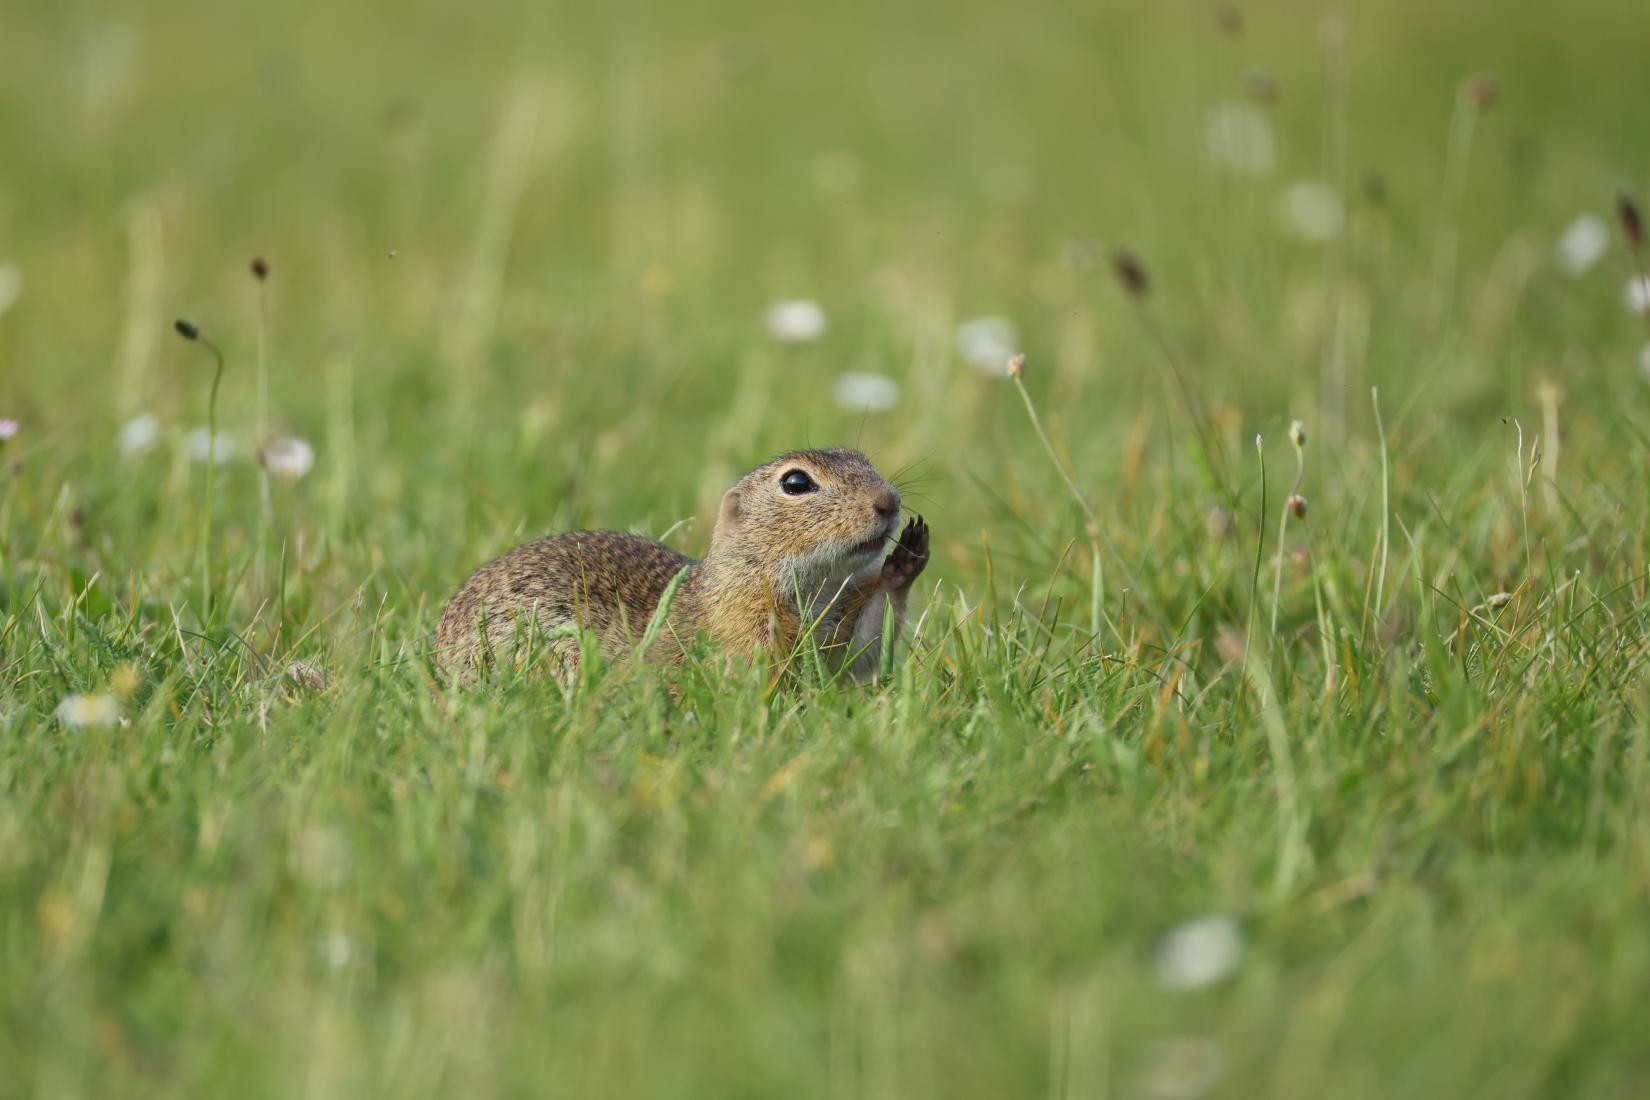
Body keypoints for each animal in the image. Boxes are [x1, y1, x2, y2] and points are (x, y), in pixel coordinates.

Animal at [435, 448, 930, 679]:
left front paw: (907, 556)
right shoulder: (743, 626)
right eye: (795, 482)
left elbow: (860, 647)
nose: (889, 501)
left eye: (864, 460)